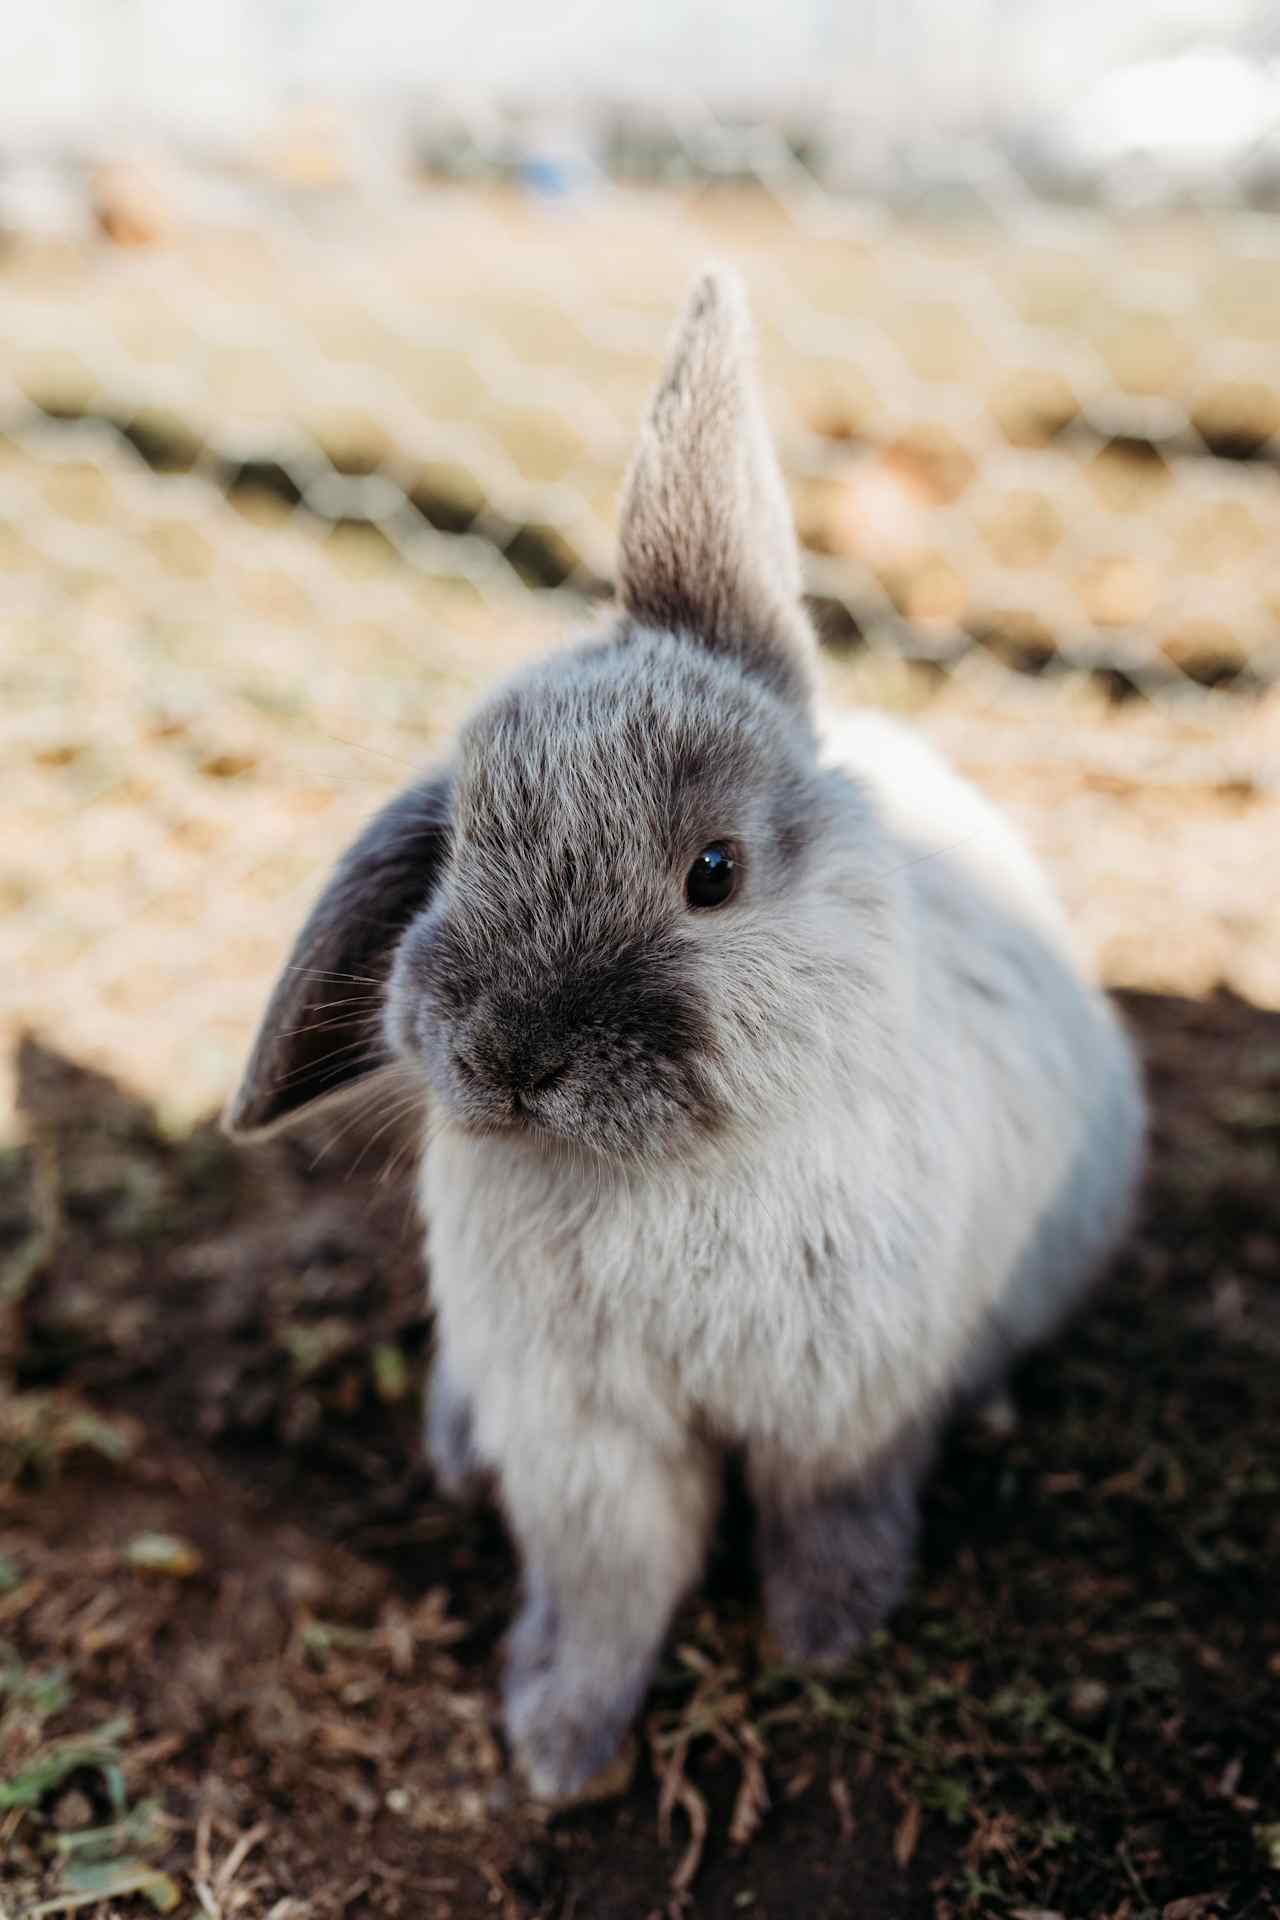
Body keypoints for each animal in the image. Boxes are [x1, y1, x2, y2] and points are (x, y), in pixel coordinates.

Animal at [225, 266, 1143, 1797]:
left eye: (713, 872)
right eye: (457, 848)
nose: (510, 1057)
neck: (661, 1178)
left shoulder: (844, 1405)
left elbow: (831, 1515)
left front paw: (828, 1635)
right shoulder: (584, 1437)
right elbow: (611, 1583)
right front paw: (558, 1743)